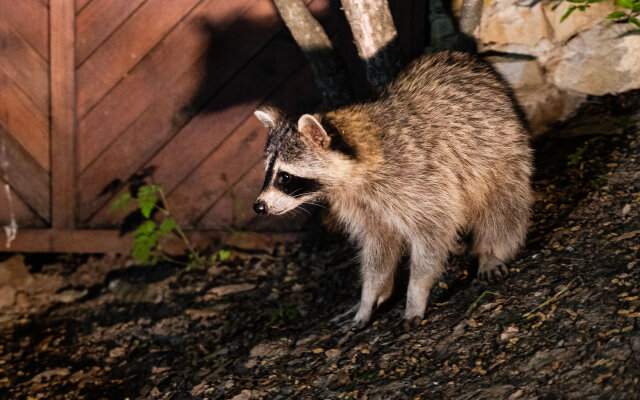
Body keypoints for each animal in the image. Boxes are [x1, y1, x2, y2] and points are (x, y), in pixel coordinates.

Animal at [252, 50, 532, 328]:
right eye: (268, 172)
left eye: (286, 177)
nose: (259, 206)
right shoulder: (359, 202)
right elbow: (378, 247)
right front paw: (368, 297)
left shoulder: (418, 178)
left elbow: (433, 231)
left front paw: (416, 293)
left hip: (500, 148)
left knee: (503, 203)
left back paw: (492, 250)